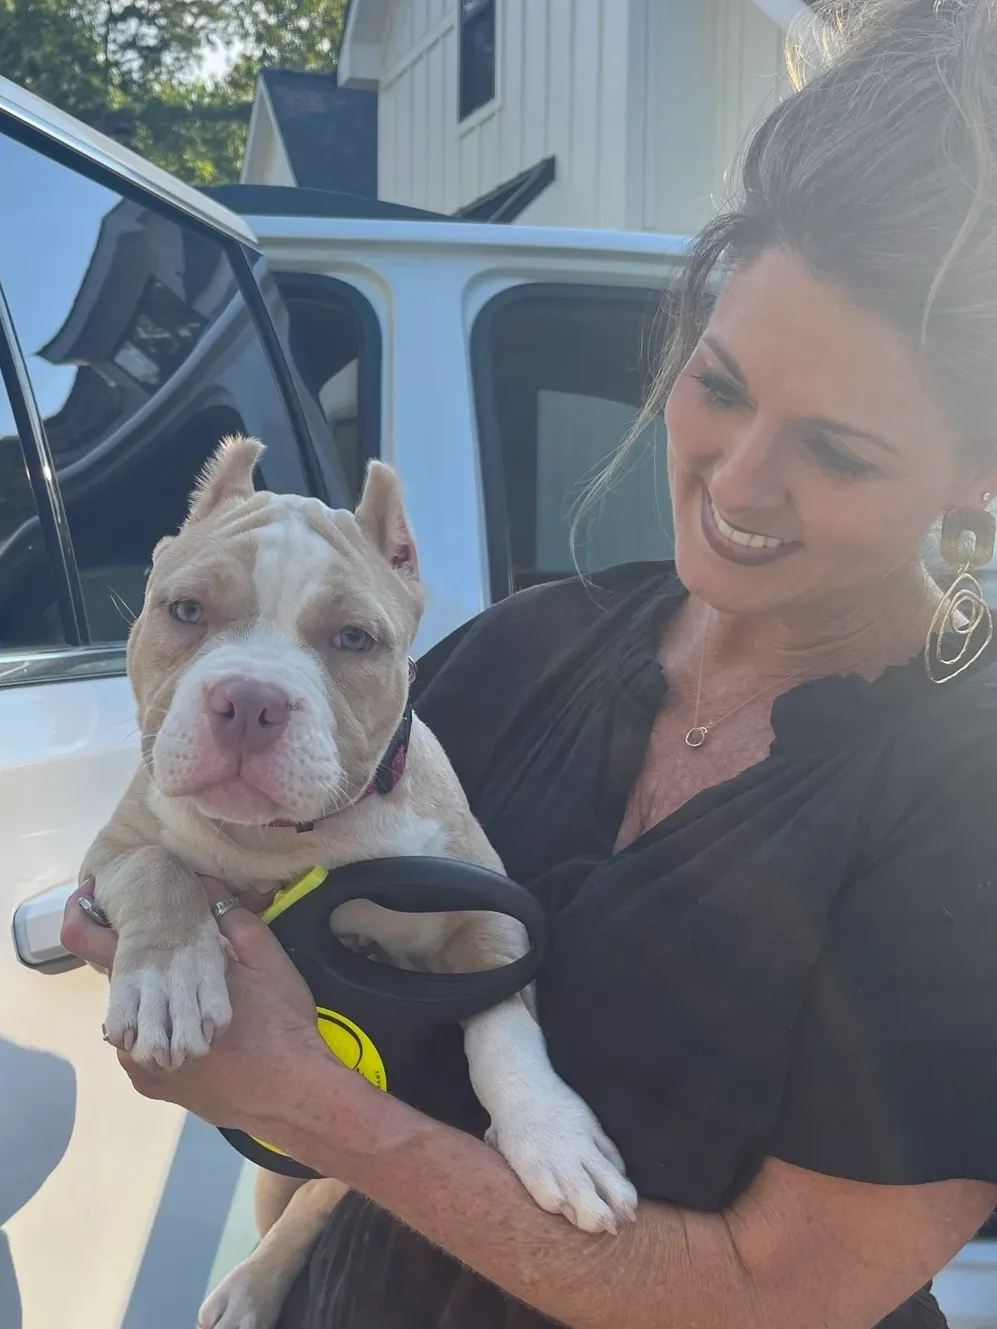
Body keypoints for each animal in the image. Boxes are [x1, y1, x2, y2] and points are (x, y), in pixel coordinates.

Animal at [82, 438, 635, 1329]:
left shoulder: (487, 914)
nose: (249, 700)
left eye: (353, 637)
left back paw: (252, 1282)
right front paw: (169, 980)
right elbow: (160, 869)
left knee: (328, 1186)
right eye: (186, 610)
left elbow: (504, 1028)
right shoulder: (112, 849)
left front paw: (553, 1135)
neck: (282, 841)